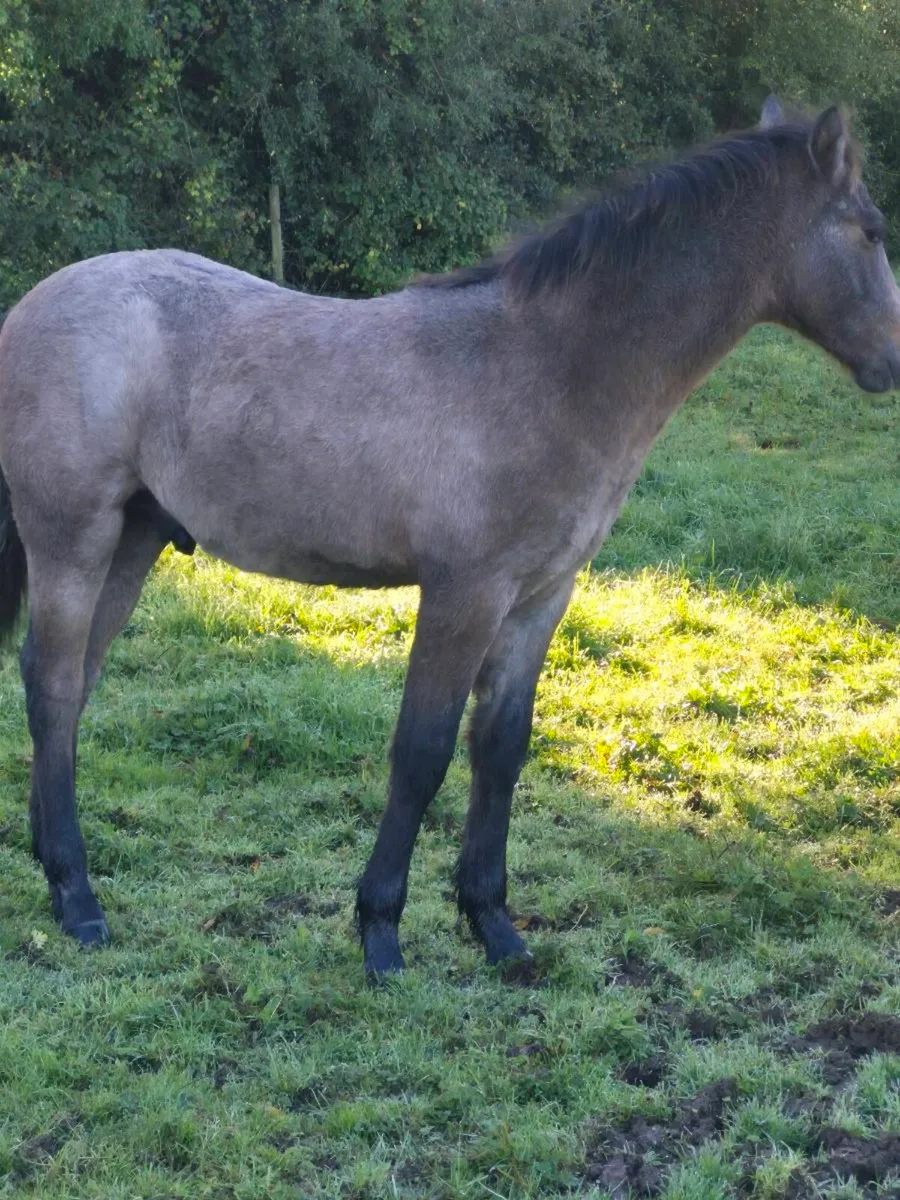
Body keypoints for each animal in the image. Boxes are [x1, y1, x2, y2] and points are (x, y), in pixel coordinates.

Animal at [0, 99, 897, 977]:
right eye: (871, 229)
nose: (893, 362)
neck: (549, 367)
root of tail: (30, 306)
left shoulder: (541, 596)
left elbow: (500, 746)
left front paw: (494, 926)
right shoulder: (466, 592)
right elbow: (423, 751)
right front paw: (381, 932)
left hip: (133, 540)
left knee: (73, 686)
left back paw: (52, 863)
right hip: (72, 537)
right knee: (53, 684)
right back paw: (78, 898)